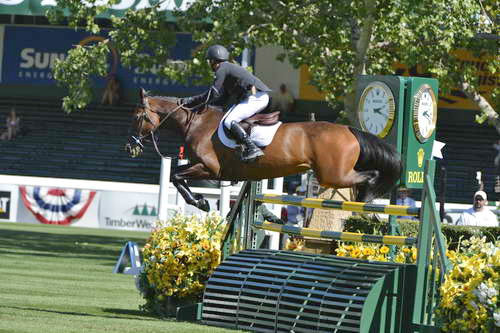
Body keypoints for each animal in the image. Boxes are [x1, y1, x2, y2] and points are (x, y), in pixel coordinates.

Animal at [127, 88, 400, 211]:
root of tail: (348, 130)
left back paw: (366, 199)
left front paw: (200, 202)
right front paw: (202, 201)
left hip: (334, 175)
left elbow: (176, 176)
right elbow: (177, 177)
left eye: (138, 117)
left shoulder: (209, 169)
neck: (196, 123)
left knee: (370, 176)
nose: (130, 146)